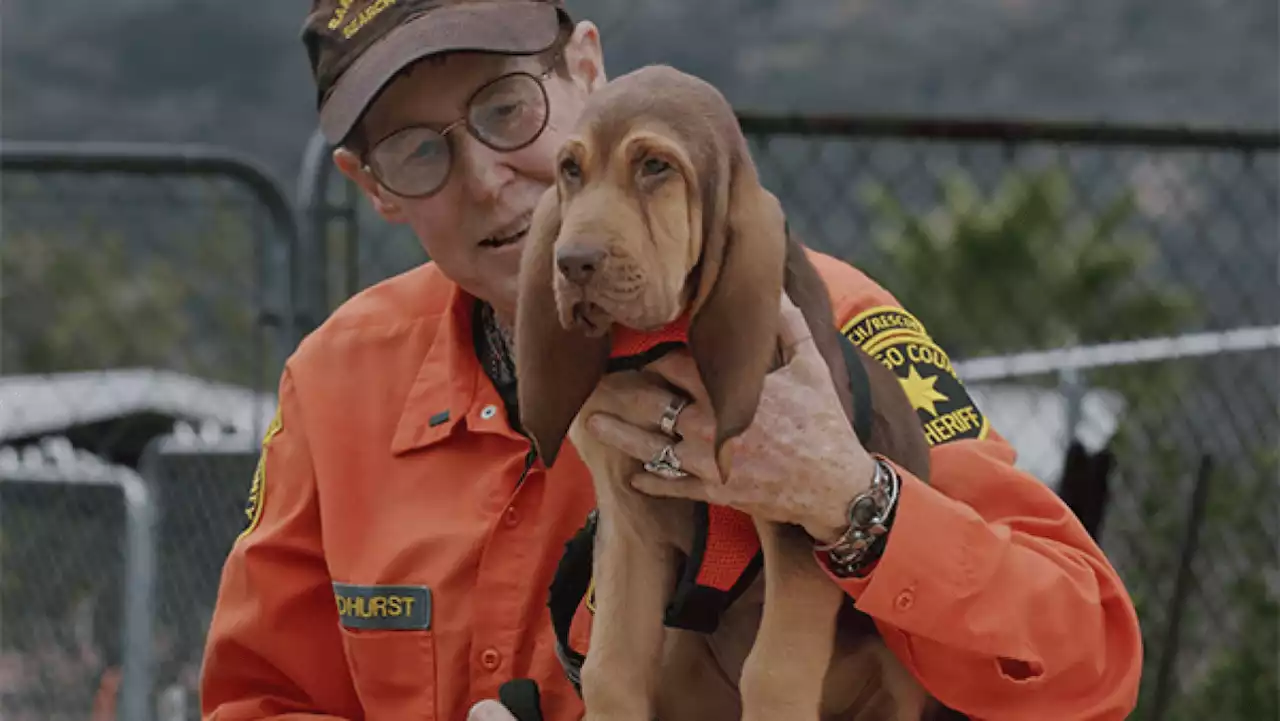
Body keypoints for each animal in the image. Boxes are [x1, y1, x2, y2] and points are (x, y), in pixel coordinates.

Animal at [514, 64, 936, 717]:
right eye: (570, 170)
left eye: (654, 166)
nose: (573, 262)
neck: (661, 343)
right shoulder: (629, 524)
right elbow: (611, 669)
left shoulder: (796, 533)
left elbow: (773, 672)